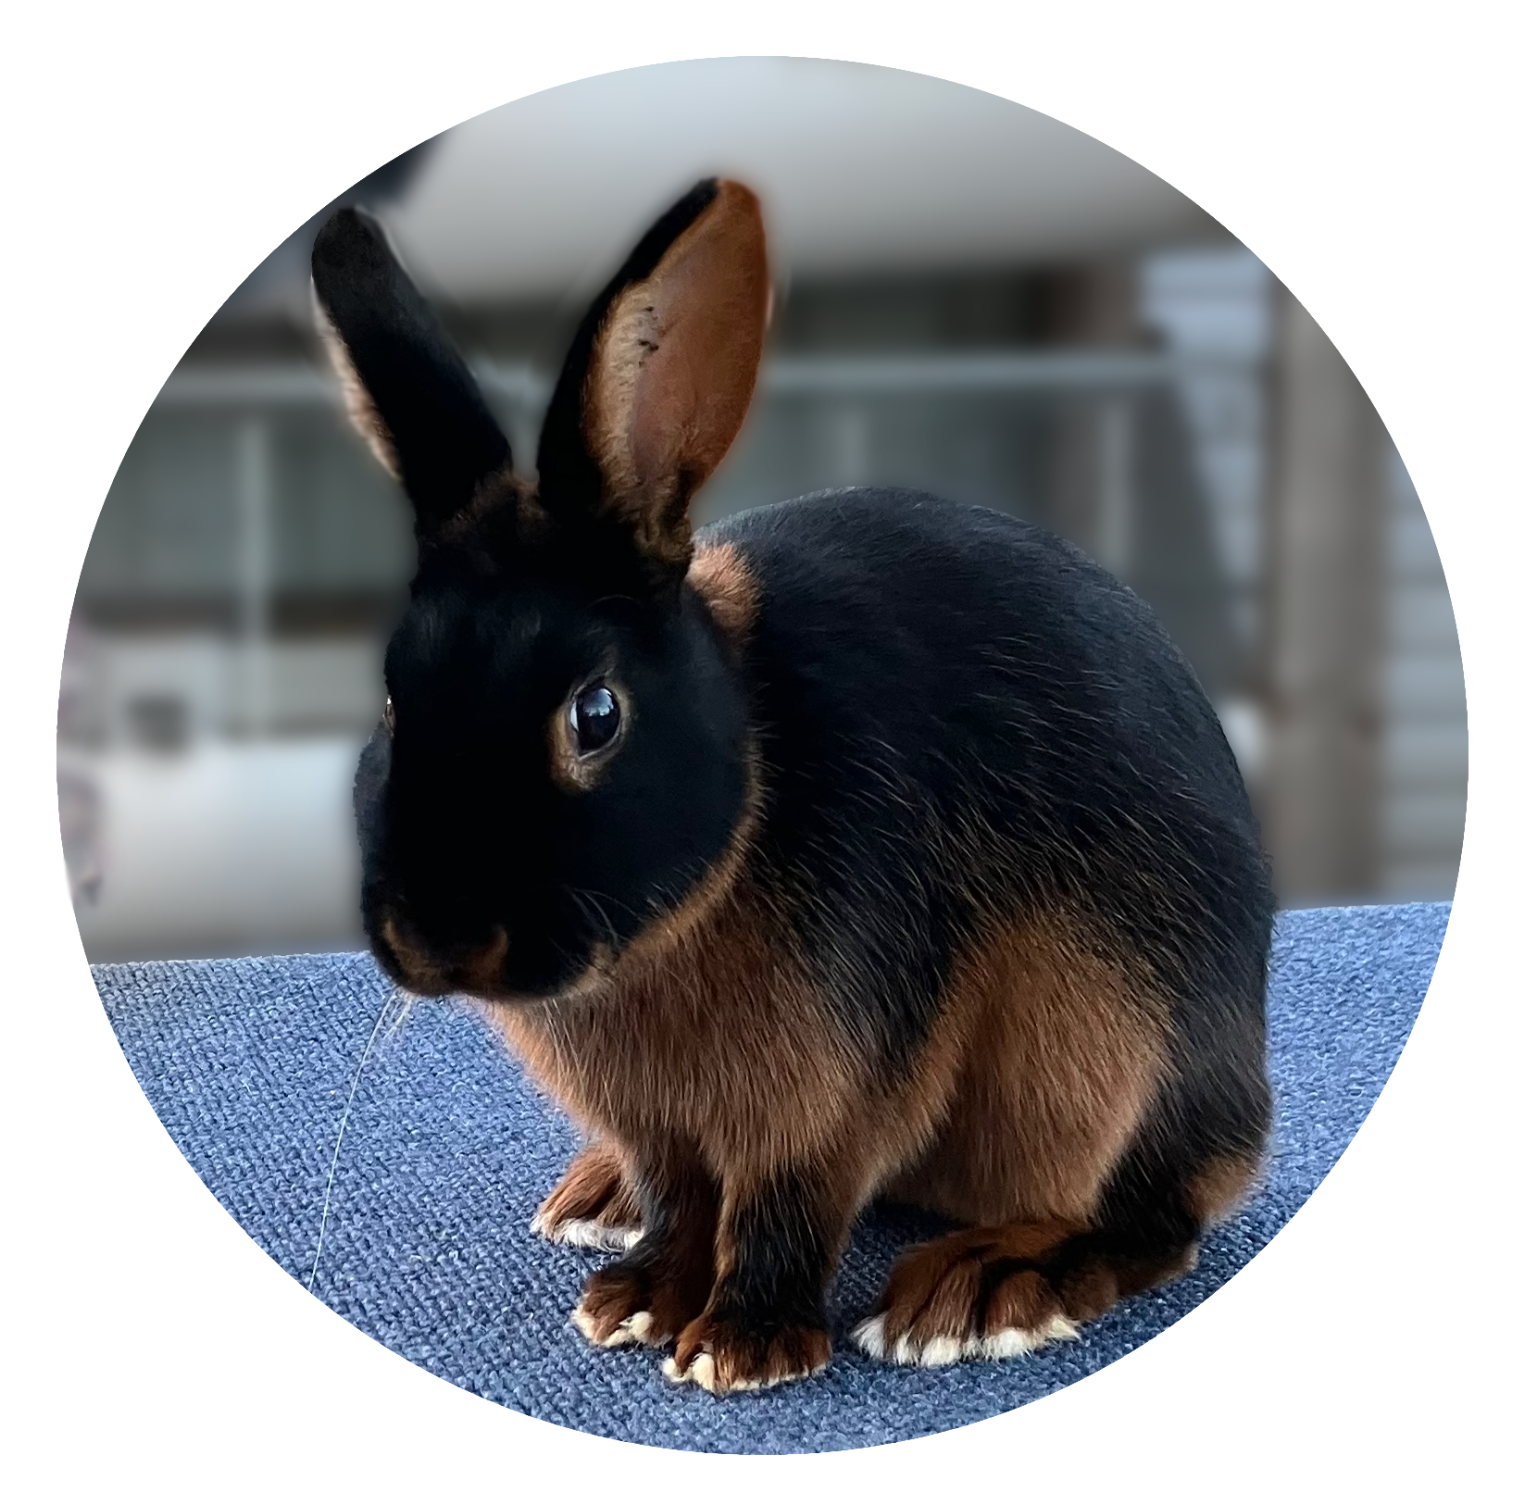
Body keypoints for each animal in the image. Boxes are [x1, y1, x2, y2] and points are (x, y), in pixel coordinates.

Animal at [311, 177, 1273, 1395]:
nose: (434, 939)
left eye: (595, 714)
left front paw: (741, 1345)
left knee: (1150, 1218)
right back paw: (597, 1196)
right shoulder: (667, 1124)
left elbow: (787, 1203)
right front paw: (633, 1300)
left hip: (1120, 1046)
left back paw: (983, 1289)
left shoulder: (834, 1091)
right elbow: (681, 1198)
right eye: (394, 703)